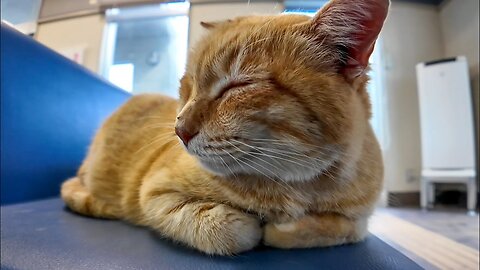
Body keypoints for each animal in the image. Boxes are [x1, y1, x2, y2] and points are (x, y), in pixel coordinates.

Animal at [62, 0, 388, 254]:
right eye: (187, 87)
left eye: (238, 86)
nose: (179, 131)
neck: (299, 185)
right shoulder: (155, 193)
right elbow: (233, 230)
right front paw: (258, 225)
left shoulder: (361, 219)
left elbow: (339, 228)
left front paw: (286, 227)